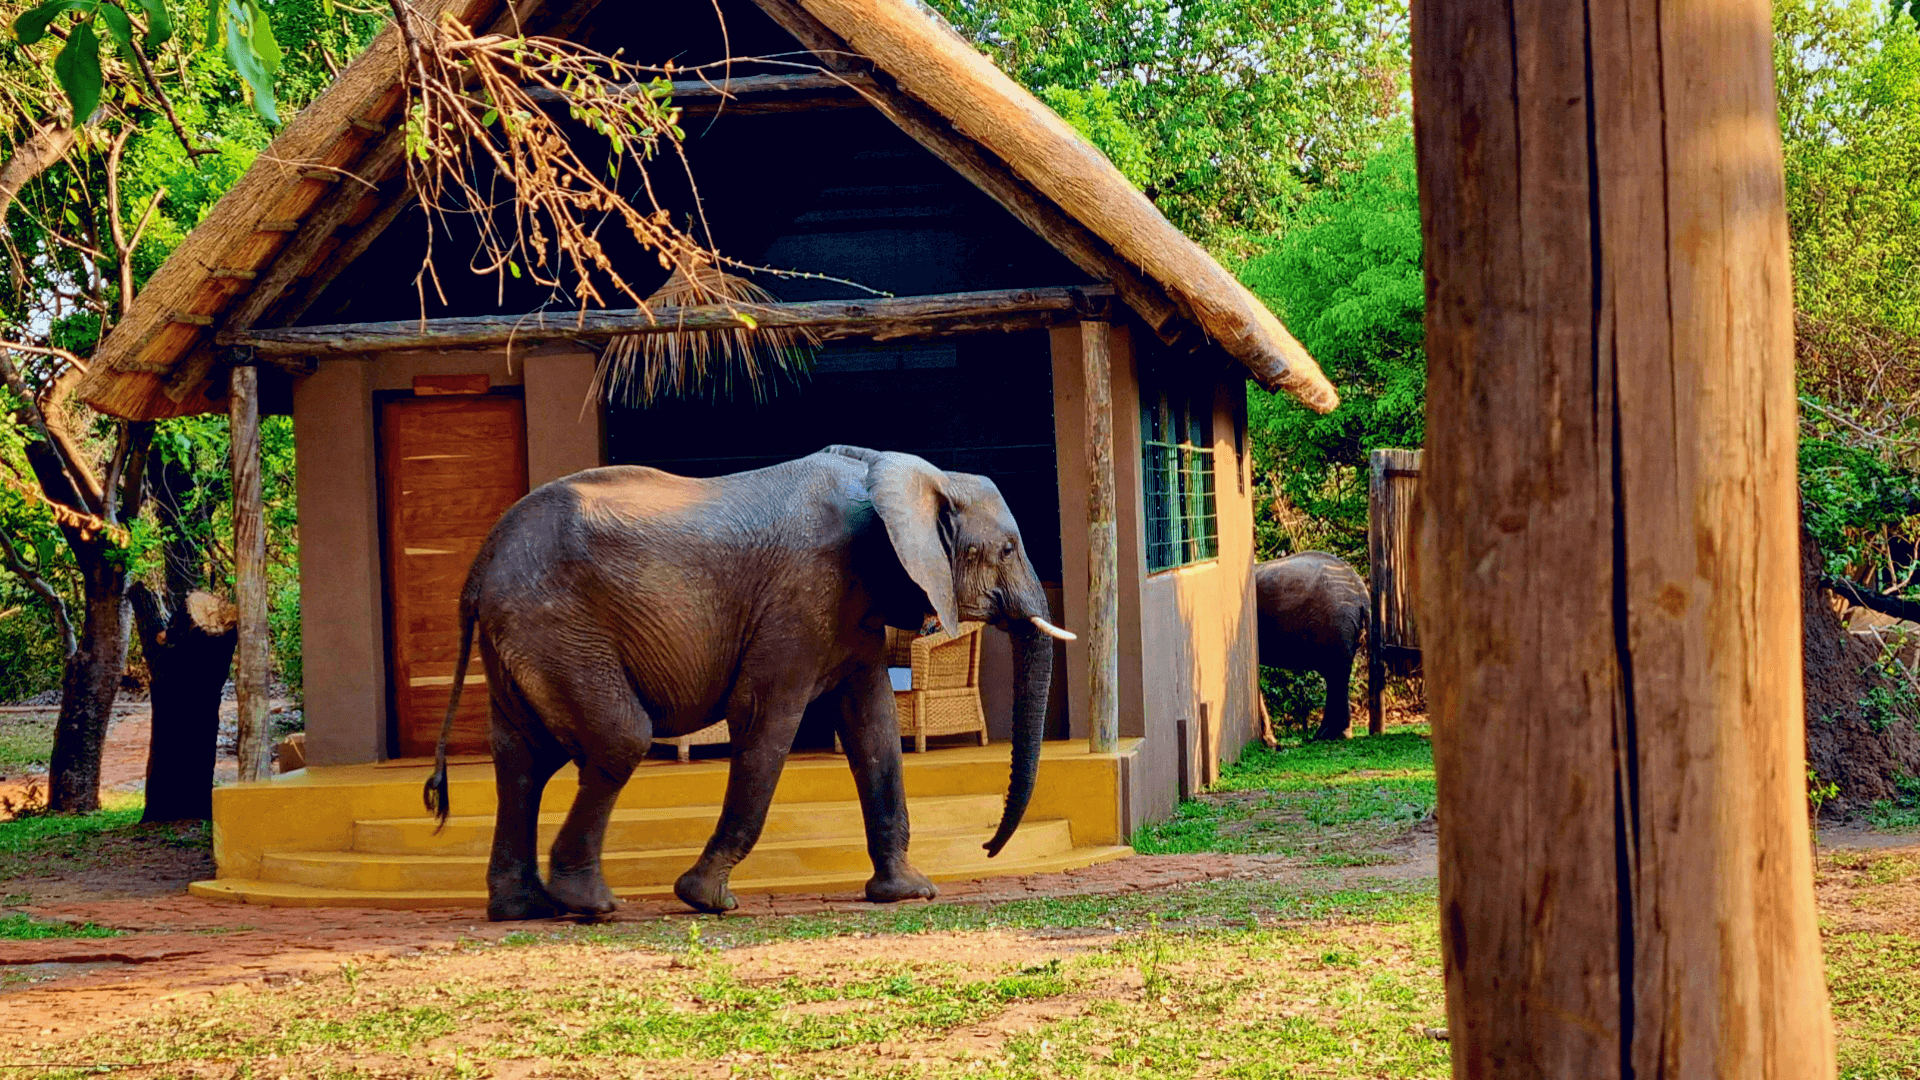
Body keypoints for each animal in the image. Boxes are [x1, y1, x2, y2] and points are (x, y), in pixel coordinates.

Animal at [424, 443, 1082, 914]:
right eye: (1006, 550)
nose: (988, 847)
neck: (898, 472)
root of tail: (480, 566)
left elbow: (873, 727)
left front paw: (908, 893)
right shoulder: (800, 596)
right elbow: (765, 719)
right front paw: (707, 900)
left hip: (526, 636)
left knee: (522, 758)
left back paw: (523, 908)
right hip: (559, 628)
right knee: (618, 738)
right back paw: (588, 905)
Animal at [1251, 549, 1374, 745]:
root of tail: (1361, 594)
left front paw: (1269, 742)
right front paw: (1270, 741)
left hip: (1334, 624)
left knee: (1335, 673)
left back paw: (1327, 735)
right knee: (1336, 674)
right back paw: (1335, 734)